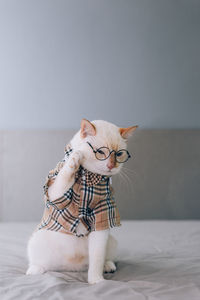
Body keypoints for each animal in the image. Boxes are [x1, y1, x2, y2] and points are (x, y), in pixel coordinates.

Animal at [25, 119, 137, 284]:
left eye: (119, 154)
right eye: (101, 152)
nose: (111, 166)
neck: (90, 177)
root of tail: (72, 268)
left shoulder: (102, 216)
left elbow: (97, 257)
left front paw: (96, 281)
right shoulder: (55, 193)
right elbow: (65, 174)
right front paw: (75, 158)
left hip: (111, 241)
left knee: (106, 258)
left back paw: (108, 266)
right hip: (36, 241)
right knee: (40, 263)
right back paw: (34, 270)